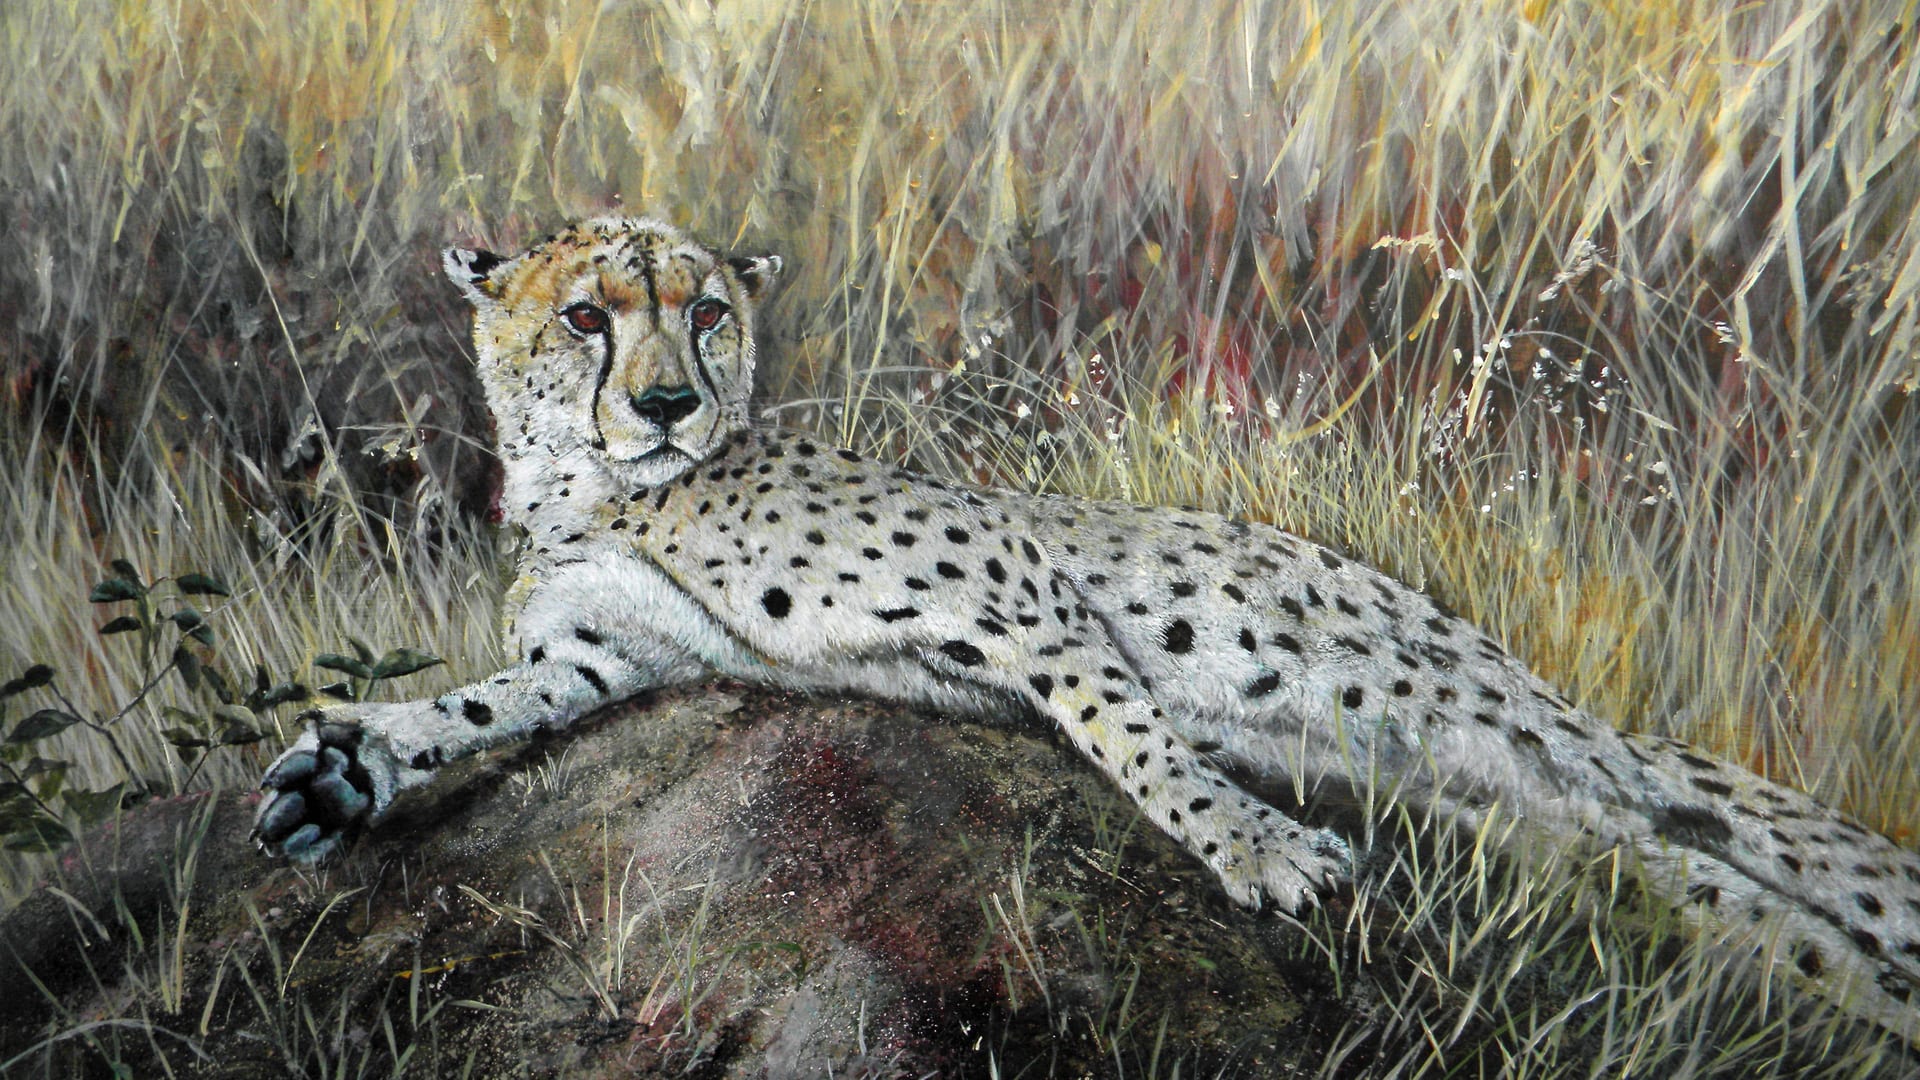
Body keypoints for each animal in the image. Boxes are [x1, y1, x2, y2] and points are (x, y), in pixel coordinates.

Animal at [254, 217, 1920, 1038]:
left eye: (707, 311)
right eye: (588, 317)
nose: (666, 399)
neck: (606, 490)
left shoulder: (1021, 599)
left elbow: (1138, 736)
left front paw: (1260, 851)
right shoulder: (605, 656)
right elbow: (475, 708)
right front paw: (345, 768)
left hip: (1461, 715)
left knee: (1724, 831)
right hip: (1501, 805)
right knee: (1700, 883)